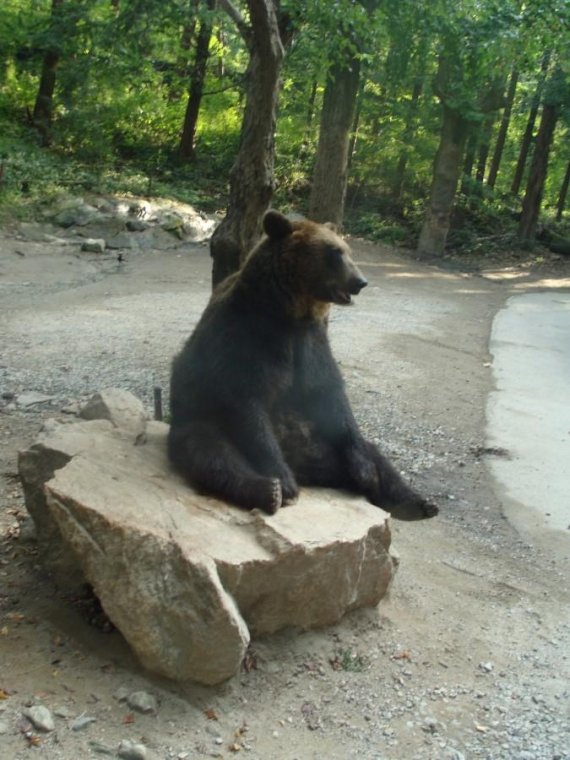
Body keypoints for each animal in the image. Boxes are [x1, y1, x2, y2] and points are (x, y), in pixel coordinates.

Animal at [166, 211, 438, 520]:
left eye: (348, 250)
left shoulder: (312, 342)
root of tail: (304, 465)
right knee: (210, 452)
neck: (289, 310)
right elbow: (246, 402)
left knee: (372, 451)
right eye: (334, 252)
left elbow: (329, 392)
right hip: (199, 419)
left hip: (320, 440)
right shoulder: (246, 338)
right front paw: (283, 483)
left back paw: (417, 502)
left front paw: (366, 473)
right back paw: (269, 490)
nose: (360, 281)